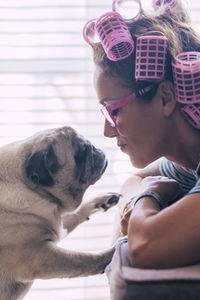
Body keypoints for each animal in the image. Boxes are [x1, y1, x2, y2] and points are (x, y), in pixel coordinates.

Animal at [0, 125, 119, 298]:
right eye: (81, 152)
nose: (95, 148)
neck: (29, 188)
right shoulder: (42, 257)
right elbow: (84, 259)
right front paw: (115, 252)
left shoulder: (56, 226)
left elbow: (75, 214)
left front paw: (101, 201)